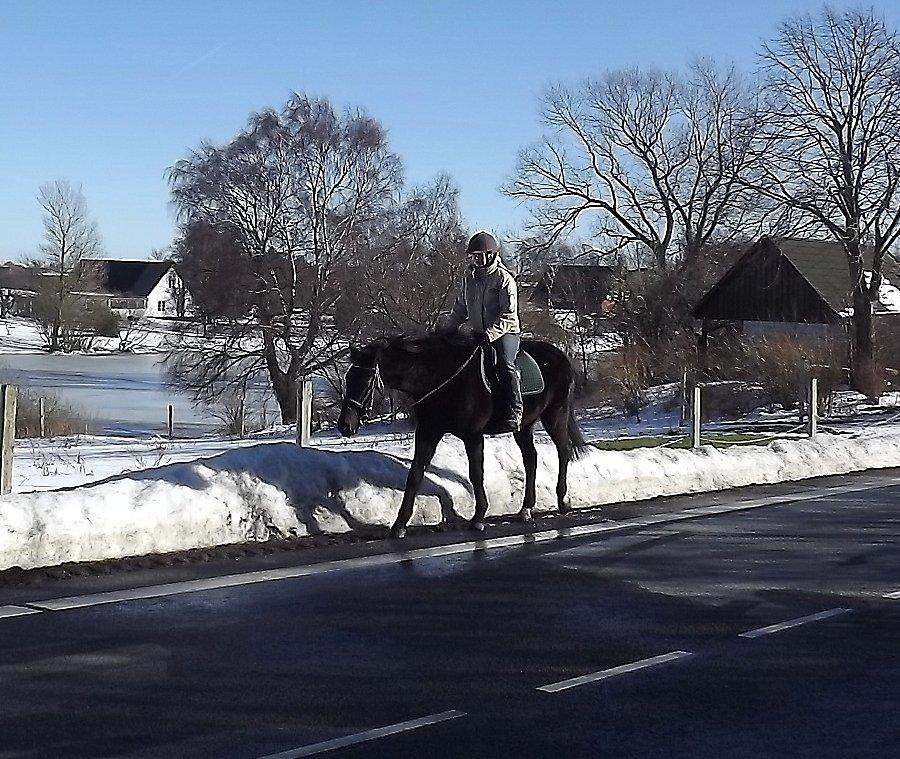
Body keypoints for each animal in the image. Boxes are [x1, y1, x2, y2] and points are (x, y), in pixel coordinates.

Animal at [334, 334, 588, 540]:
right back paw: (526, 509)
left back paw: (563, 500)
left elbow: (476, 473)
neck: (442, 379)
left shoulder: (472, 435)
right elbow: (414, 475)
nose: (345, 425)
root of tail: (560, 356)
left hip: (555, 414)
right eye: (348, 378)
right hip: (524, 425)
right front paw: (399, 525)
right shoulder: (428, 432)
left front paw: (479, 518)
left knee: (563, 452)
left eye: (365, 381)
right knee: (531, 459)